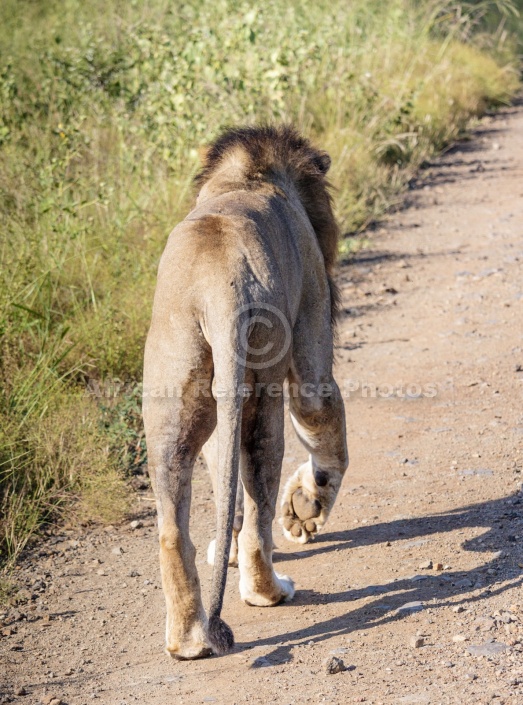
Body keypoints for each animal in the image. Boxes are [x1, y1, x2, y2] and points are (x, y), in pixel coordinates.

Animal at [142, 124, 348, 656]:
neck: (248, 177)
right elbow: (326, 431)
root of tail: (216, 288)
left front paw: (224, 548)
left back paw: (186, 640)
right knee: (258, 511)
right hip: (260, 393)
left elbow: (223, 486)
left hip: (176, 395)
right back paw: (269, 590)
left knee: (174, 528)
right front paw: (307, 510)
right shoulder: (313, 313)